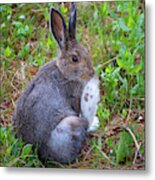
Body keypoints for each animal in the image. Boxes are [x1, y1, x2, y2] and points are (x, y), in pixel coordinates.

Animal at [13, 2, 100, 164]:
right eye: (75, 59)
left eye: (86, 51)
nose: (92, 73)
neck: (63, 71)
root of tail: (39, 150)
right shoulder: (75, 99)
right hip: (70, 123)